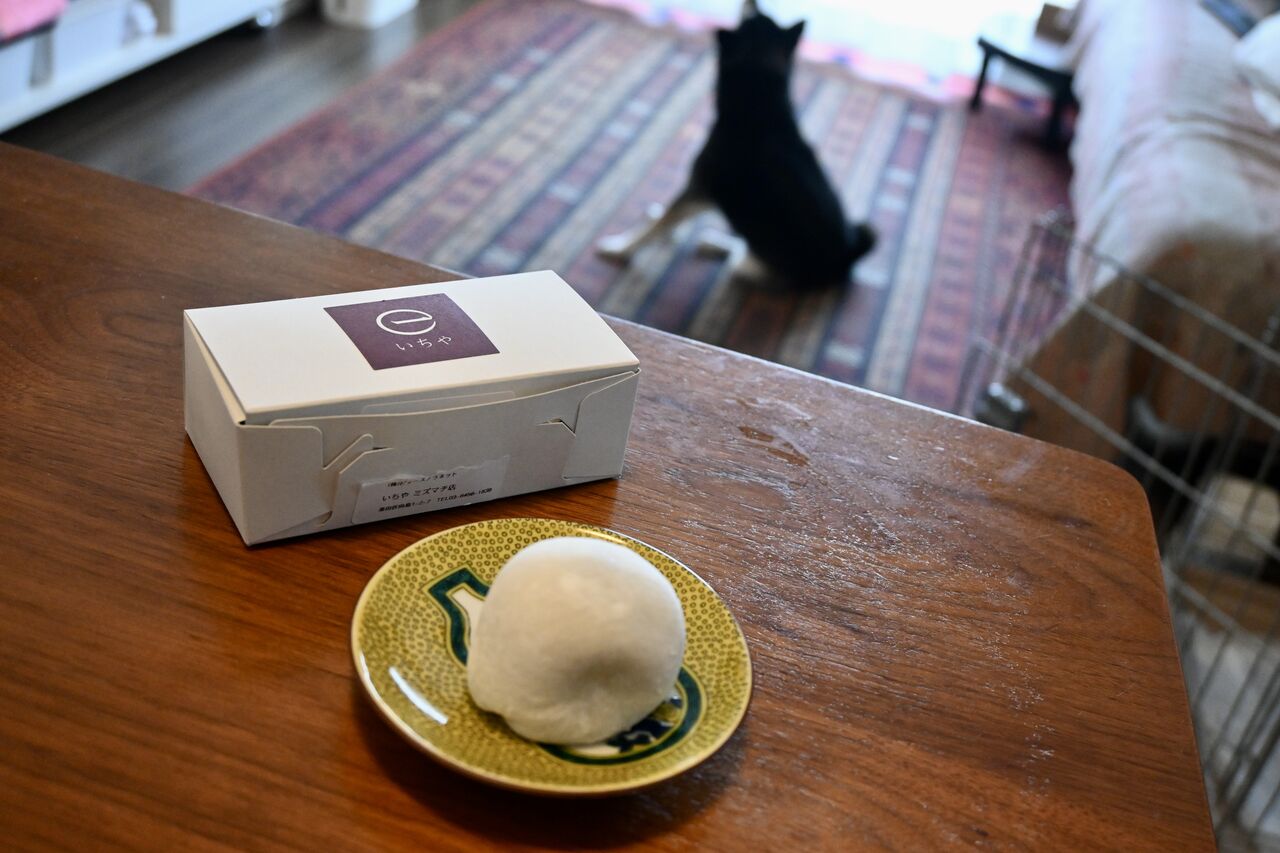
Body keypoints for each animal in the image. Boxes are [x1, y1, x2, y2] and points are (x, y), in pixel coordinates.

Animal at [596, 0, 875, 289]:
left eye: (751, 16)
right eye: (763, 14)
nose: (752, 1)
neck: (758, 103)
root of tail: (846, 260)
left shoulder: (700, 187)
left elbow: (658, 227)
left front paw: (621, 248)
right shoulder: (703, 194)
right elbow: (670, 219)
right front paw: (662, 224)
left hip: (749, 263)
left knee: (738, 255)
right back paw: (711, 241)